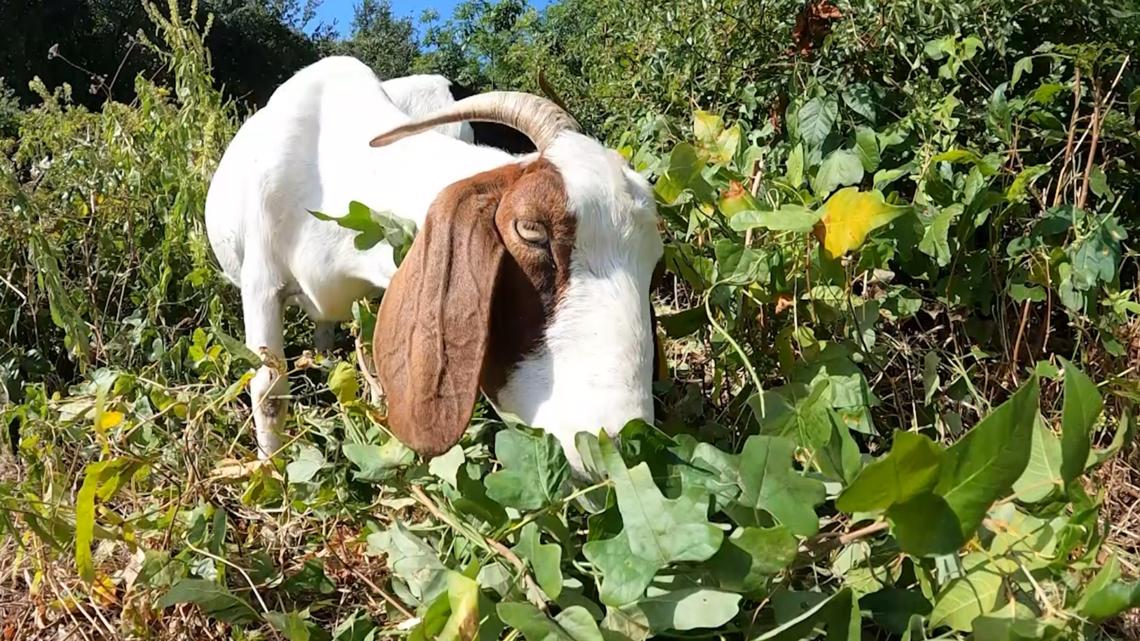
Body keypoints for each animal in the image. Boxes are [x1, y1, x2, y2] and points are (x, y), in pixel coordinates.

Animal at [204, 57, 663, 470]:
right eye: (532, 230)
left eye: (652, 261)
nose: (619, 442)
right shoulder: (261, 284)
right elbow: (269, 392)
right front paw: (270, 473)